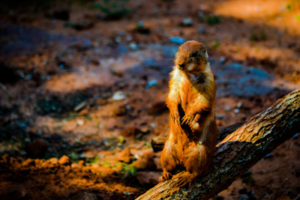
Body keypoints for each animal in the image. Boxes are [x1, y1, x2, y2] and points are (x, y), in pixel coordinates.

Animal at [161, 40, 217, 184]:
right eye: (179, 50)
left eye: (194, 54)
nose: (180, 63)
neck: (188, 75)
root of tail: (182, 159)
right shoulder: (175, 78)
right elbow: (172, 96)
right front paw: (175, 115)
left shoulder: (208, 80)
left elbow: (203, 101)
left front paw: (188, 118)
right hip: (167, 150)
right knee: (168, 165)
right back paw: (165, 175)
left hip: (200, 154)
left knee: (197, 172)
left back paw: (186, 177)